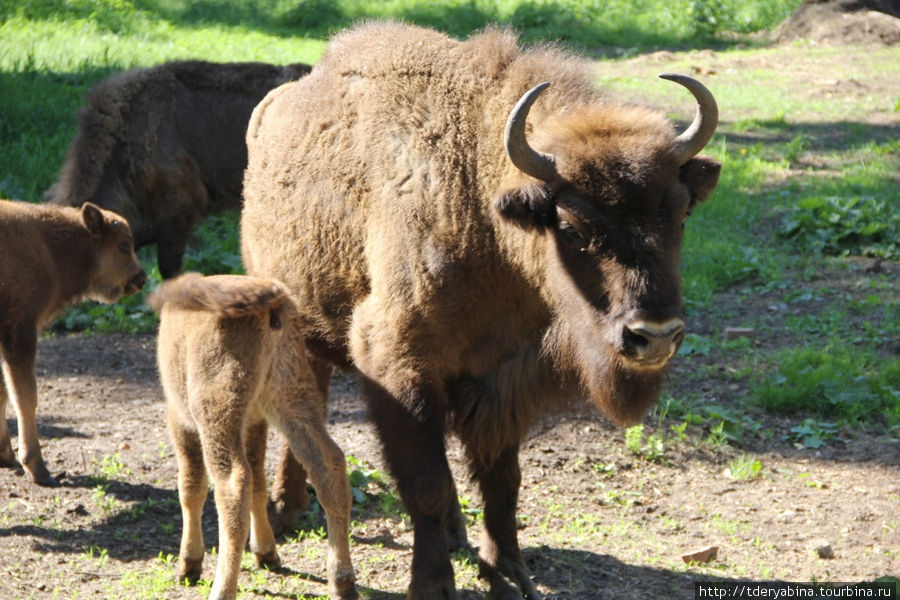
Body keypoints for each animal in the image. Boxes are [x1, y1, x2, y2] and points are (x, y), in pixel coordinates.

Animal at [0, 199, 146, 486]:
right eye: (124, 244)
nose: (141, 277)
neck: (48, 247)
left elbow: (3, 392)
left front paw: (5, 456)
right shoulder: (20, 332)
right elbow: (25, 396)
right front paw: (38, 469)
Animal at [149, 274, 356, 600]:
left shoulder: (180, 419)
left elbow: (191, 486)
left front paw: (188, 565)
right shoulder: (255, 421)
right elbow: (260, 482)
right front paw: (267, 553)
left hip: (218, 414)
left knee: (233, 483)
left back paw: (222, 589)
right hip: (292, 398)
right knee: (327, 463)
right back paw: (343, 582)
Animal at [239, 21, 716, 600]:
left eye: (680, 213)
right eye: (572, 226)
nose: (655, 336)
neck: (484, 205)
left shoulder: (501, 380)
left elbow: (501, 482)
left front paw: (507, 572)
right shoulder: (398, 368)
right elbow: (424, 481)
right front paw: (434, 583)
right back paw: (285, 510)